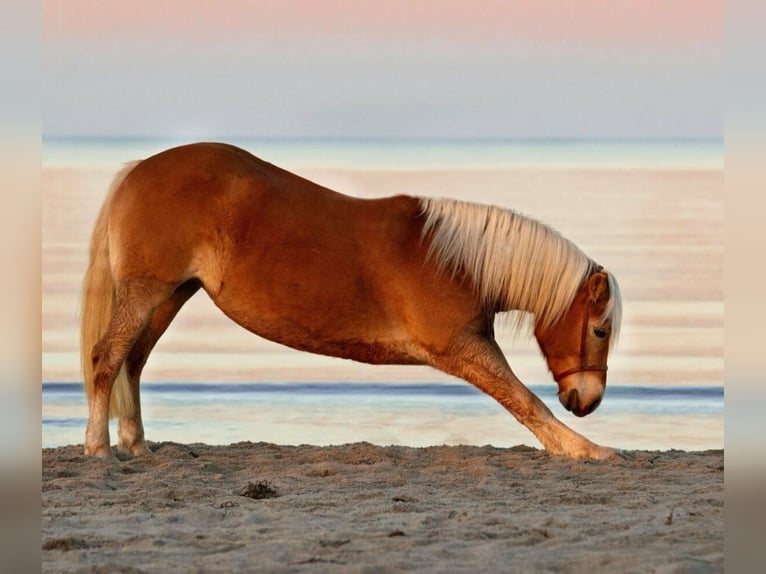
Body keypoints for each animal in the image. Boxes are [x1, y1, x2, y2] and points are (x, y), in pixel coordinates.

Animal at [82, 145, 624, 464]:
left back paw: (136, 443)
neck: (458, 259)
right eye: (599, 330)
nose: (587, 401)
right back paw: (99, 448)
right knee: (106, 359)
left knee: (133, 361)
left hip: (170, 295)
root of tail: (138, 170)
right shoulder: (464, 349)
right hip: (148, 293)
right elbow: (524, 401)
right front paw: (585, 449)